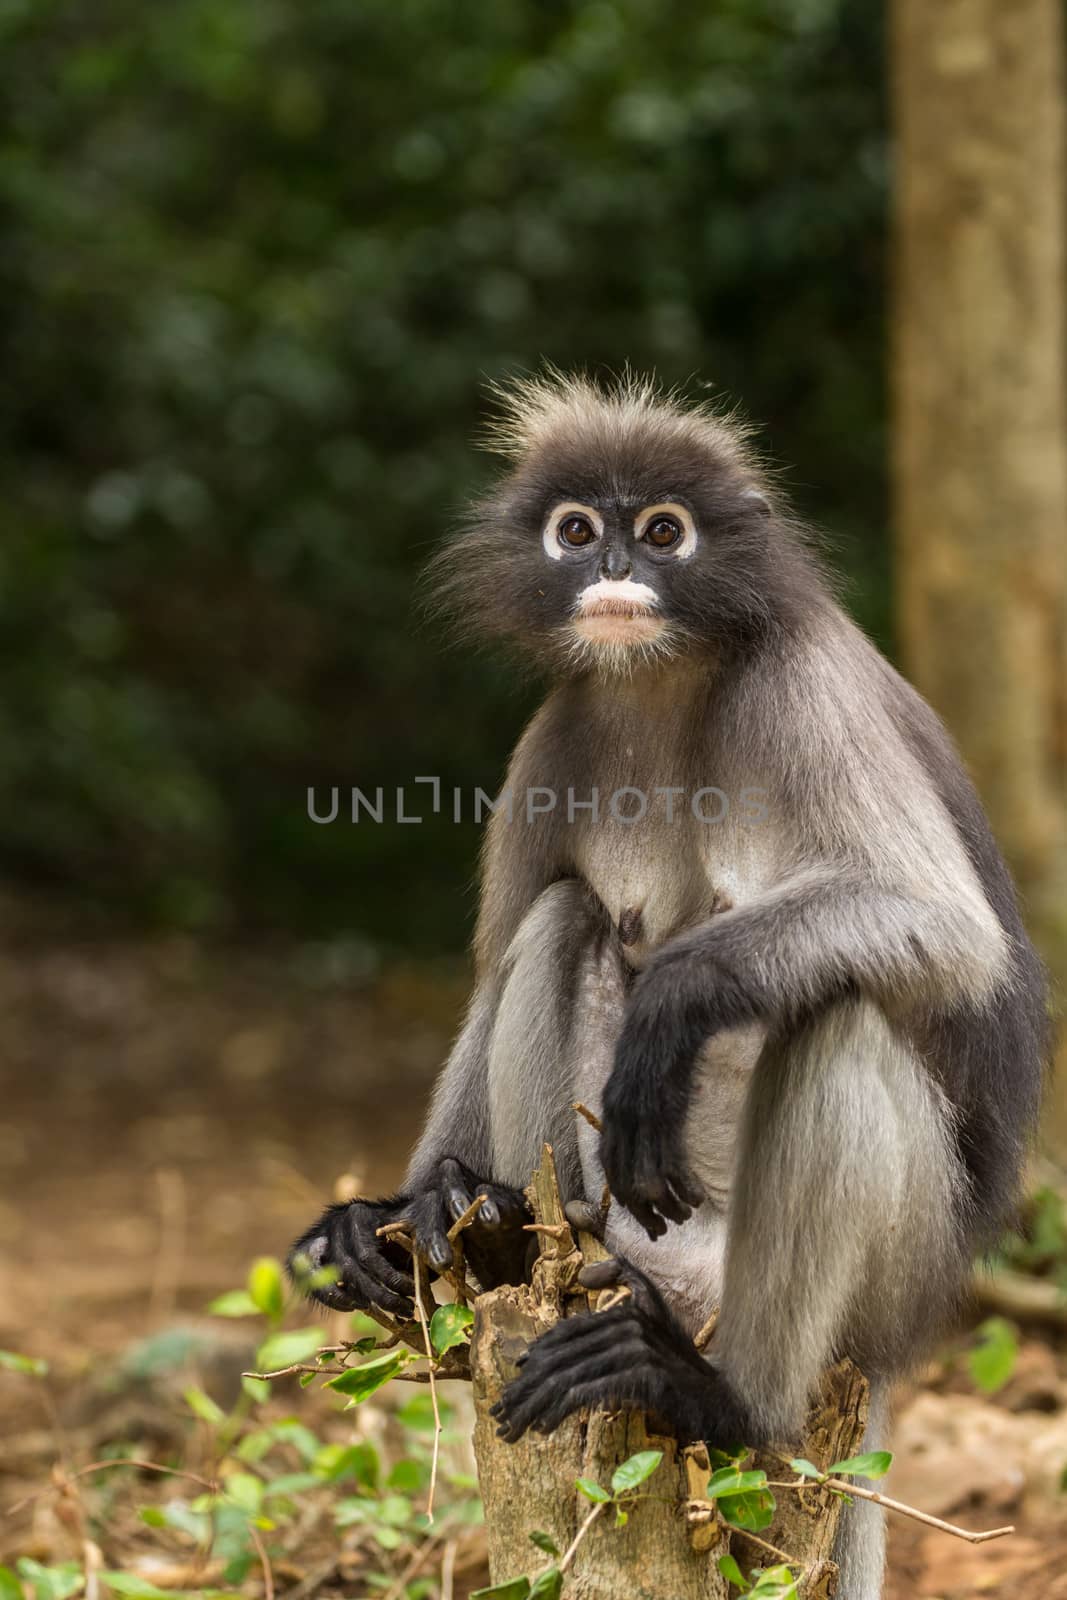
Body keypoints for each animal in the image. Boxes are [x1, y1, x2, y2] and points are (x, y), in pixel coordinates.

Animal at [287, 374, 1049, 1600]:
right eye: (575, 530)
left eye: (660, 533)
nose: (611, 570)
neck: (664, 679)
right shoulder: (556, 731)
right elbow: (498, 961)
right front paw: (393, 1209)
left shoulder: (802, 690)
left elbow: (946, 929)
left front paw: (674, 1009)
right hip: (612, 1217)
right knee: (562, 919)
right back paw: (488, 1217)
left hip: (892, 1269)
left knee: (837, 1018)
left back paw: (723, 1395)